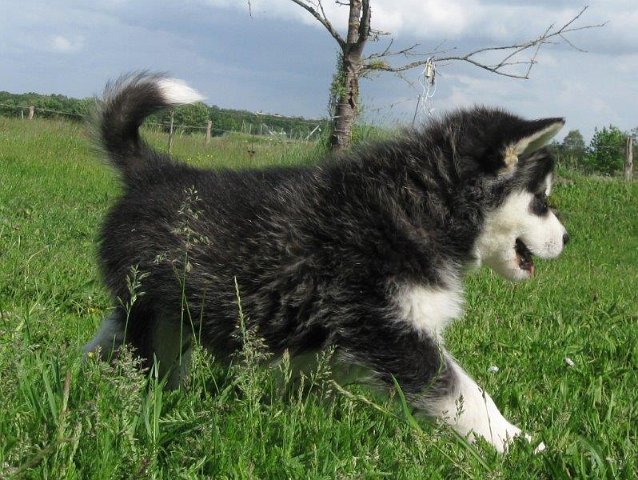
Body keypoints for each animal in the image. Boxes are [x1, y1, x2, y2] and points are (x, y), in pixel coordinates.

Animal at [84, 73, 568, 453]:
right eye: (541, 201)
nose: (568, 238)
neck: (417, 206)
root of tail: (154, 172)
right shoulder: (388, 329)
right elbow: (465, 393)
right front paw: (519, 443)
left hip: (159, 306)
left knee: (110, 338)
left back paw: (82, 372)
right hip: (154, 309)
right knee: (143, 357)